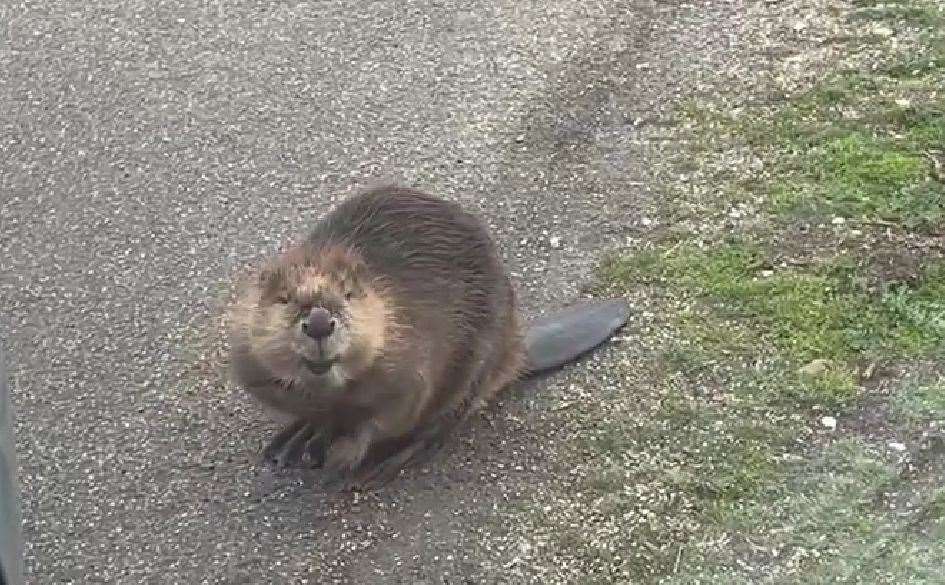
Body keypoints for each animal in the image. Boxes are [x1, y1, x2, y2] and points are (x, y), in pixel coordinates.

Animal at [226, 187, 628, 488]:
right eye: (284, 299)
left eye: (348, 295)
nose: (320, 323)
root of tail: (519, 350)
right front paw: (309, 438)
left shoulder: (411, 363)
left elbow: (391, 415)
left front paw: (343, 457)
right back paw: (293, 442)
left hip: (479, 356)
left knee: (444, 421)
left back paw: (386, 462)